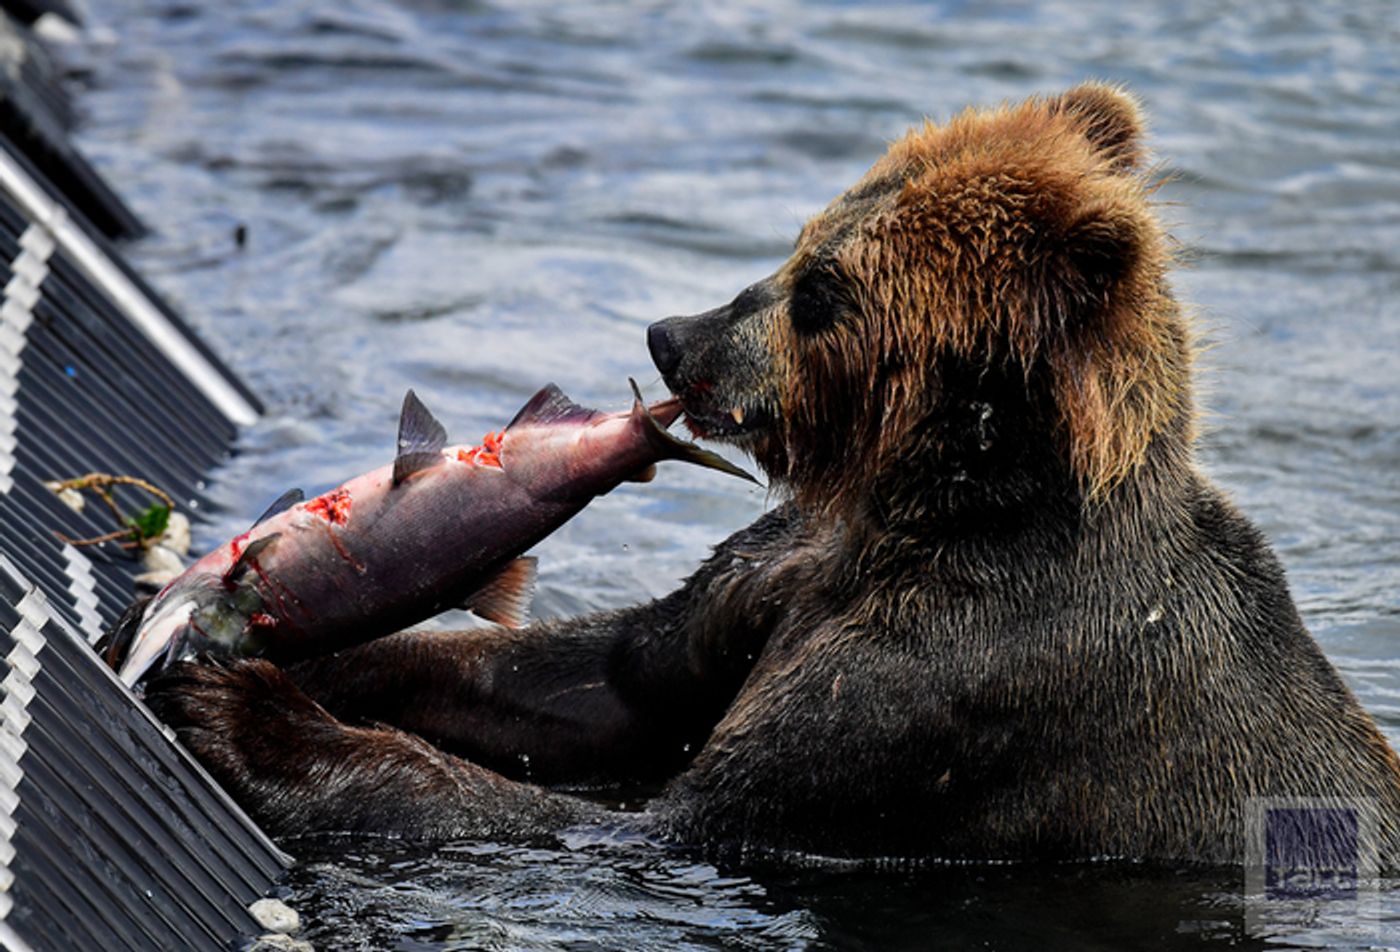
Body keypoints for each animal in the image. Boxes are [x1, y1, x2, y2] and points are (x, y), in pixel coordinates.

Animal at [144, 85, 1400, 868]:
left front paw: (251, 715)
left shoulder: (954, 691)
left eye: (822, 293)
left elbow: (659, 816)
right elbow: (600, 677)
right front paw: (292, 655)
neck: (918, 508)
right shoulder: (783, 572)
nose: (672, 337)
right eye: (802, 242)